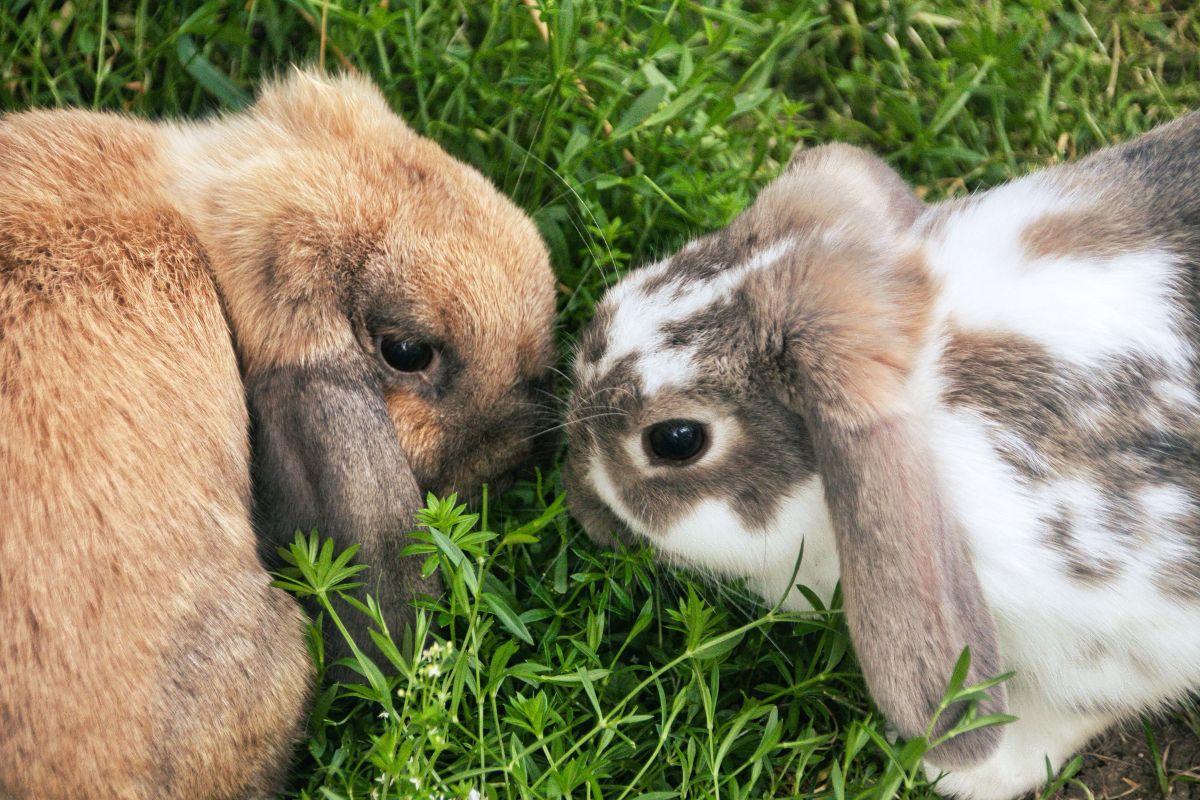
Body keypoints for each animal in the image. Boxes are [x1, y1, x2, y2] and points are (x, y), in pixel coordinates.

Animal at [564, 116, 1200, 800]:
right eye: (612, 302)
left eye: (675, 439)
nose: (583, 513)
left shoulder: (1122, 632)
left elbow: (1067, 711)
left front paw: (966, 770)